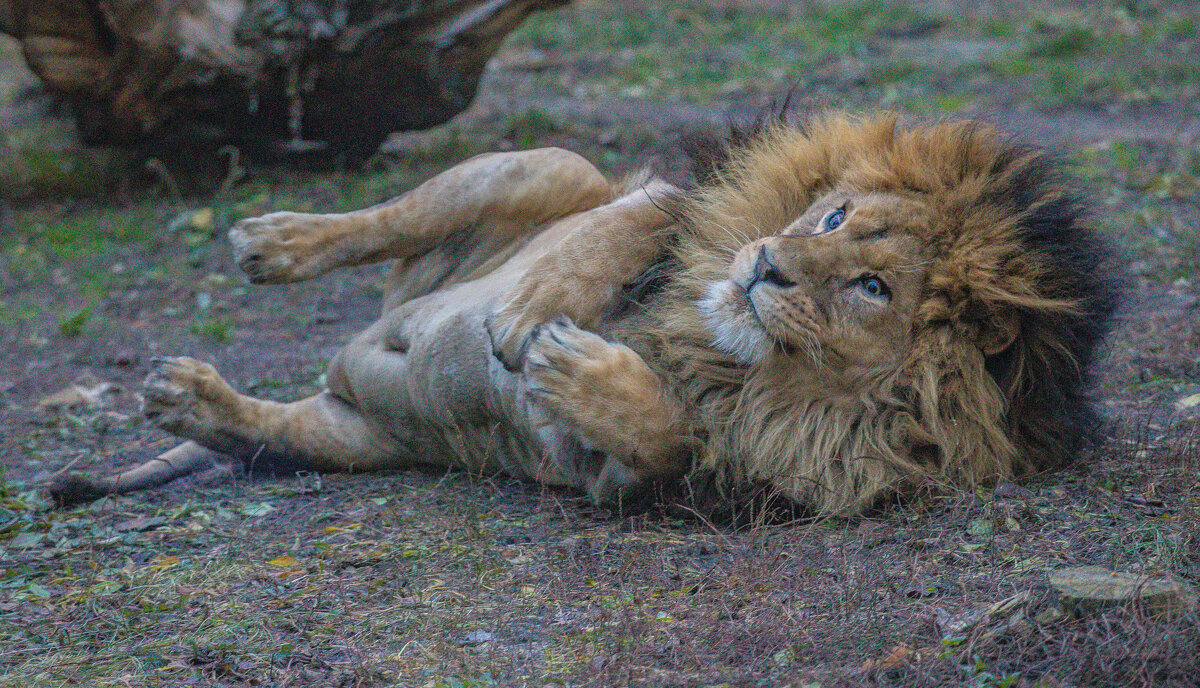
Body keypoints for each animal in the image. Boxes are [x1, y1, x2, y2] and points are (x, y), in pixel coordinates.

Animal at [44, 112, 1113, 511]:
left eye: (873, 289)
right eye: (835, 214)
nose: (767, 265)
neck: (736, 358)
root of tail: (349, 351)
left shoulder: (619, 475)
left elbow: (666, 441)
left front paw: (581, 370)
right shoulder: (683, 203)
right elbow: (628, 228)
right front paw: (530, 320)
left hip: (356, 436)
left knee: (267, 425)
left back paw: (189, 396)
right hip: (543, 169)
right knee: (386, 218)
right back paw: (270, 243)